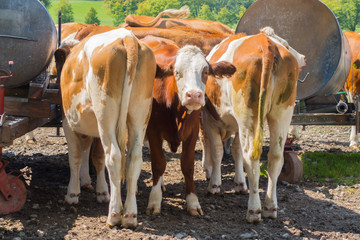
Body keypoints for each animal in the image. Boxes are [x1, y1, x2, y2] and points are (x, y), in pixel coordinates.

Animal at [55, 28, 157, 229]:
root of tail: (127, 37)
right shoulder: (93, 129)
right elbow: (96, 156)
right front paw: (101, 190)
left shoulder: (68, 123)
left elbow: (76, 157)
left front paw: (72, 193)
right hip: (139, 115)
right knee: (133, 159)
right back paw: (130, 215)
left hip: (106, 116)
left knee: (114, 156)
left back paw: (115, 214)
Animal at [141, 35, 236, 216]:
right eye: (177, 72)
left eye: (205, 72)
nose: (193, 95)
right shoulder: (153, 131)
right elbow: (158, 164)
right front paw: (154, 201)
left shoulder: (192, 132)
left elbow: (187, 165)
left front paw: (193, 202)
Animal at [204, 30, 300, 223]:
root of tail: (266, 42)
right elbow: (236, 150)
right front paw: (240, 183)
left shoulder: (210, 120)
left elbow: (218, 151)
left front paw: (214, 185)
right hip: (282, 113)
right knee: (275, 157)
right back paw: (270, 207)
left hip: (248, 117)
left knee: (252, 158)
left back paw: (254, 210)